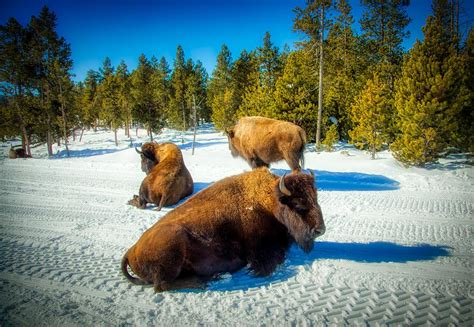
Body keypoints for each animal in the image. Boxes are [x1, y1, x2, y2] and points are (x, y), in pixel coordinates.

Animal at [120, 168, 324, 294]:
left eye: (315, 198)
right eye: (298, 204)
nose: (320, 230)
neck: (269, 201)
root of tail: (130, 251)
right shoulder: (260, 249)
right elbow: (271, 260)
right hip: (174, 242)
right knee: (161, 285)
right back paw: (204, 281)